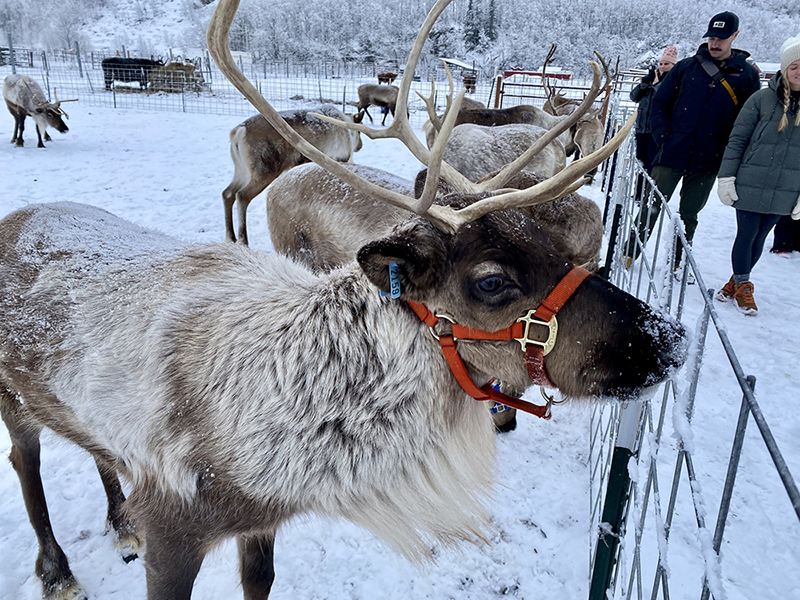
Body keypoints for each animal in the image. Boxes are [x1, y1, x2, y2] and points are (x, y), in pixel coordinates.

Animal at [221, 104, 362, 245]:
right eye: (359, 131)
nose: (360, 146)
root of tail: (238, 132)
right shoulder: (338, 159)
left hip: (242, 170)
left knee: (228, 193)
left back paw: (230, 237)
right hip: (264, 172)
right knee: (242, 195)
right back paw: (243, 240)